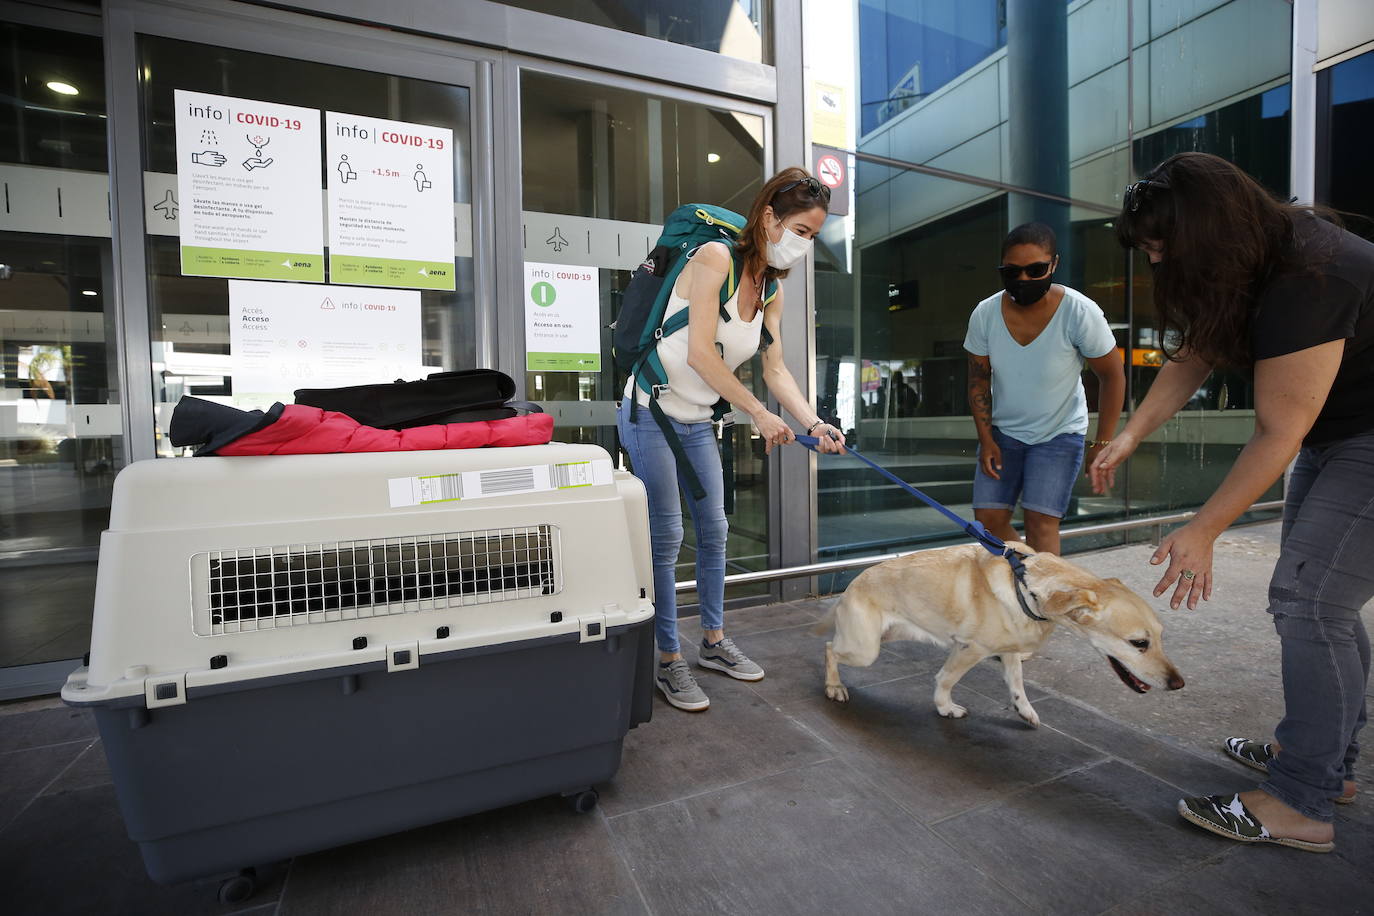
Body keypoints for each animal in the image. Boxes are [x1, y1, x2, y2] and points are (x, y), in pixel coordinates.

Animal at [813, 541, 1181, 725]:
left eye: (1162, 636)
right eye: (1139, 643)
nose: (1178, 684)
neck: (1028, 587)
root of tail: (851, 586)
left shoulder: (1009, 651)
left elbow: (1017, 686)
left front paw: (1024, 711)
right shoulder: (970, 649)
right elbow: (945, 680)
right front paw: (946, 709)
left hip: (886, 637)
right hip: (865, 649)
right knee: (829, 647)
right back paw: (834, 687)